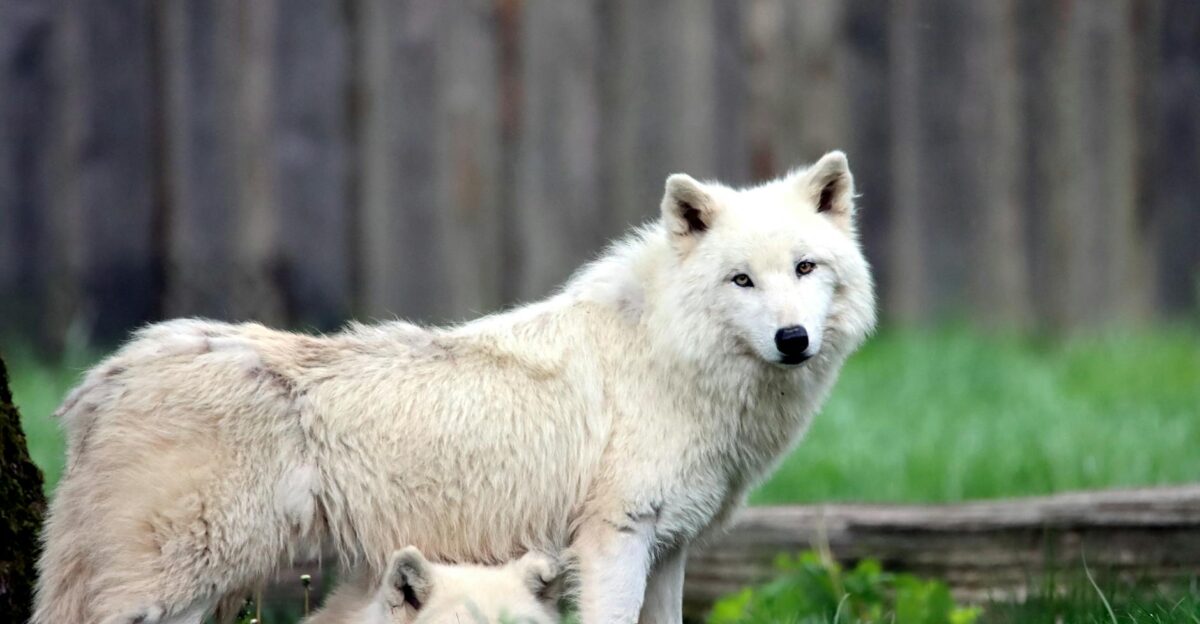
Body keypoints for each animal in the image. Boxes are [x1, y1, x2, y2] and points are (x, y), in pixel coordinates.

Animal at [34, 151, 875, 624]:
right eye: (742, 280)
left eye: (805, 268)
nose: (792, 340)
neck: (668, 357)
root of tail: (103, 377)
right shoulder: (615, 543)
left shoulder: (669, 551)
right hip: (167, 591)